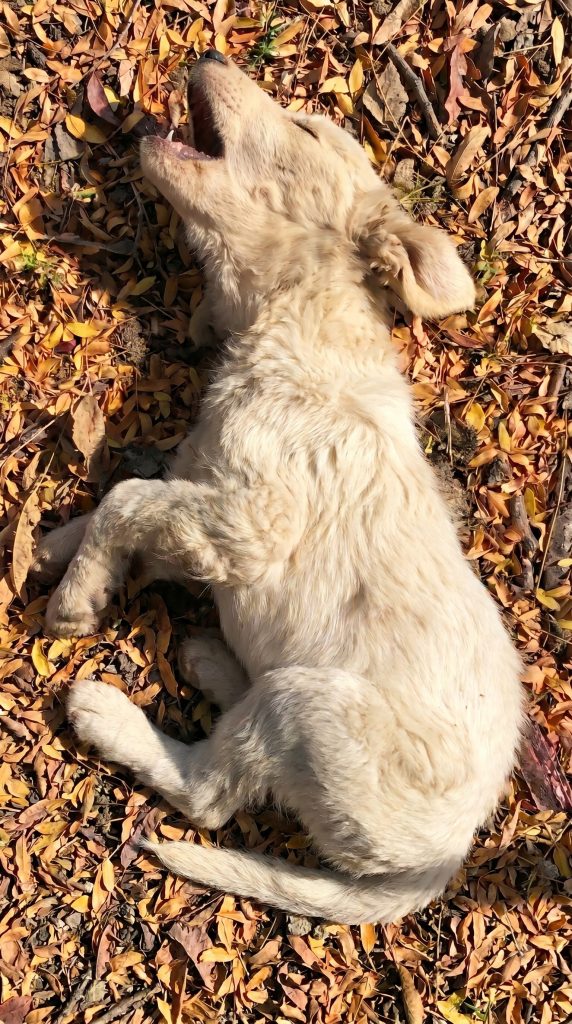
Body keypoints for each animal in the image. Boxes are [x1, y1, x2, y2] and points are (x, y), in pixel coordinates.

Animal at [34, 52, 524, 924]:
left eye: (304, 129)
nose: (207, 56)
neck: (289, 327)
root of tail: (441, 862)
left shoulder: (252, 523)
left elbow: (129, 500)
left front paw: (77, 598)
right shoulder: (206, 488)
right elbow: (130, 497)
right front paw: (55, 547)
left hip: (309, 709)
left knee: (208, 795)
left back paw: (111, 715)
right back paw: (210, 659)